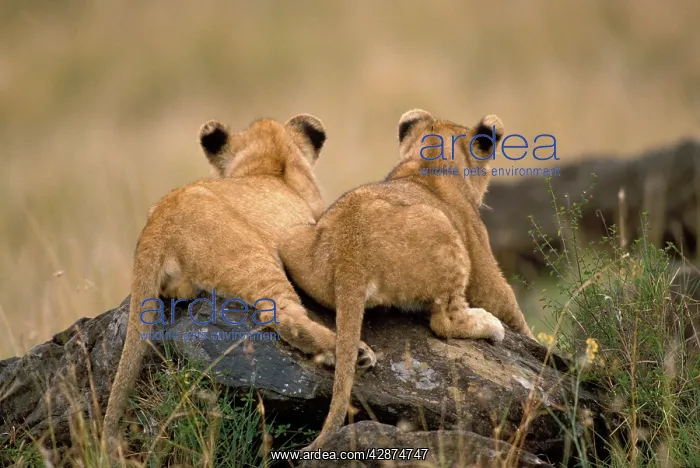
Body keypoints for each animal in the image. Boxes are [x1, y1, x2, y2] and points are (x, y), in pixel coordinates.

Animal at [279, 109, 536, 450]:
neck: (428, 159)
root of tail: (349, 253)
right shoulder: (480, 256)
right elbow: (506, 302)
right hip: (444, 228)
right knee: (443, 321)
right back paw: (488, 325)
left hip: (293, 235)